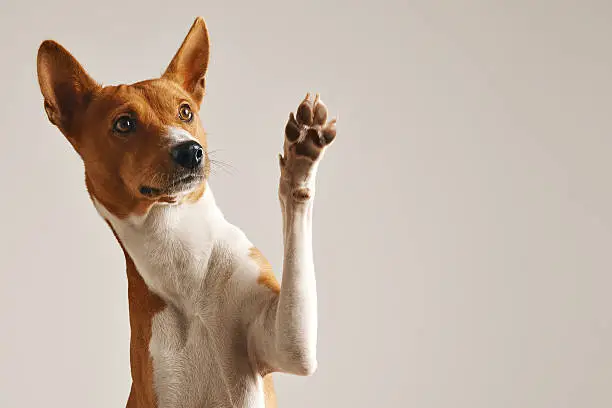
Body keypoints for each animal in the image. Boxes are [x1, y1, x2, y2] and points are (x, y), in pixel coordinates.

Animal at [35, 15, 338, 408]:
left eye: (185, 112)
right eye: (124, 123)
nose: (190, 151)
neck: (183, 262)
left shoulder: (286, 343)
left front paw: (302, 156)